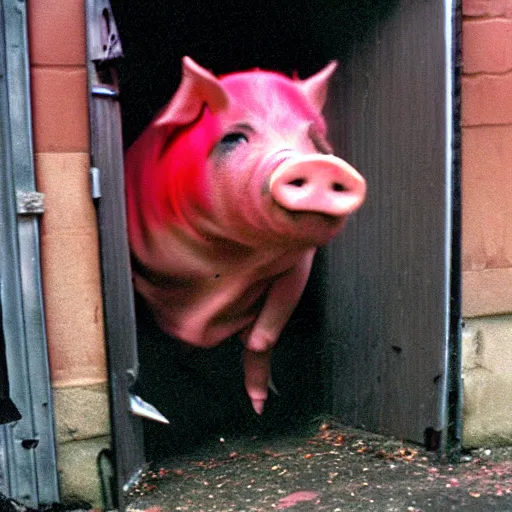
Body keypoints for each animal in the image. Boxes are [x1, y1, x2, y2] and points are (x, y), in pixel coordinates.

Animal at [124, 57, 366, 416]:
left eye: (315, 140)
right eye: (235, 138)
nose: (319, 164)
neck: (227, 260)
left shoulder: (299, 263)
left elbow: (264, 335)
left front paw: (259, 408)